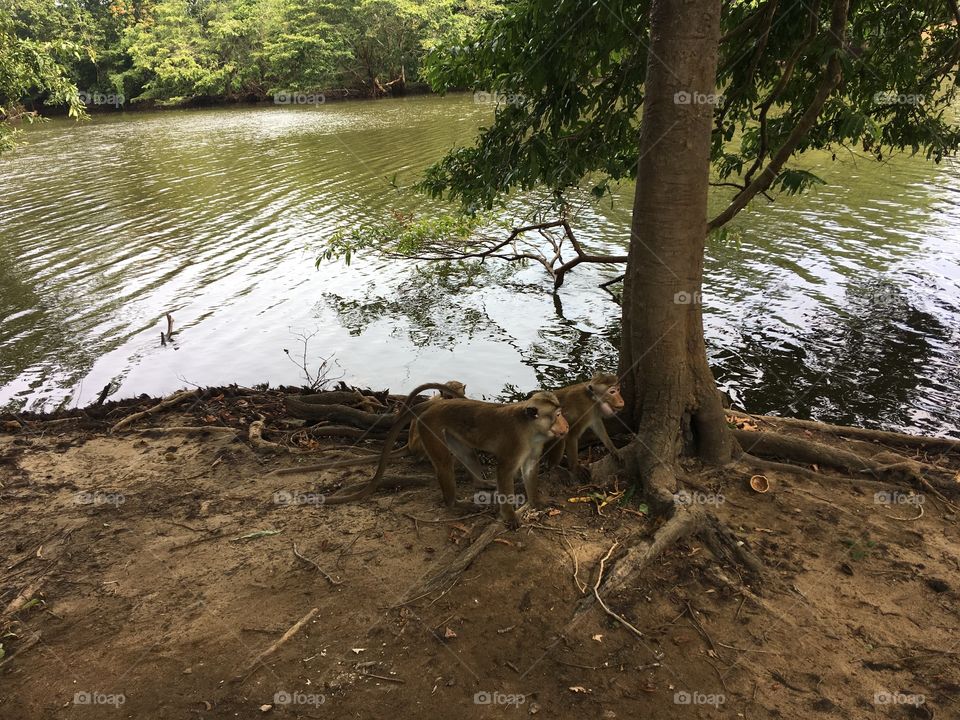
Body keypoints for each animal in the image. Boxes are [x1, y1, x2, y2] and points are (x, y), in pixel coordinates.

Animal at [321, 383, 569, 529]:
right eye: (557, 415)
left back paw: (481, 483)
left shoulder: (534, 445)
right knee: (444, 464)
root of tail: (429, 407)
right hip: (429, 428)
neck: (530, 428)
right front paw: (510, 517)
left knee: (465, 452)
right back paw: (455, 503)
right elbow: (505, 471)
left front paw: (535, 501)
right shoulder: (514, 443)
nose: (566, 425)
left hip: (447, 431)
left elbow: (529, 468)